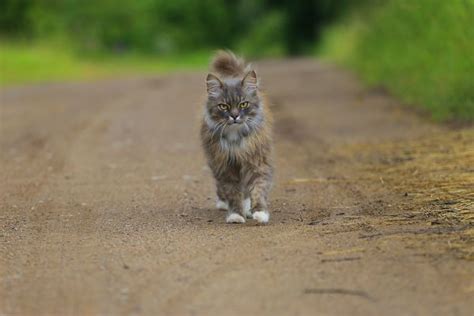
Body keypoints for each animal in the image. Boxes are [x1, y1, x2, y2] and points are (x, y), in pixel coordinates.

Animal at [200, 51, 274, 225]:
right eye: (223, 106)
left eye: (243, 104)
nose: (234, 116)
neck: (235, 137)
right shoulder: (225, 165)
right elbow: (233, 192)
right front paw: (235, 215)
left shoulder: (257, 161)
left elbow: (258, 189)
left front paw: (260, 213)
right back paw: (224, 204)